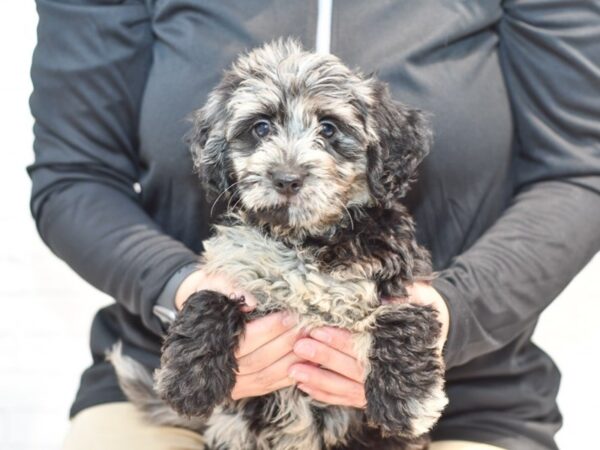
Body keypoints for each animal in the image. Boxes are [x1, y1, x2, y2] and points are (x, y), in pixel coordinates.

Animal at [109, 38, 446, 450]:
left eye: (329, 129)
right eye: (261, 127)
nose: (286, 178)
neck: (303, 240)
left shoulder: (402, 281)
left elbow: (403, 318)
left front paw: (408, 401)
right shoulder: (236, 268)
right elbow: (208, 298)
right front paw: (189, 380)